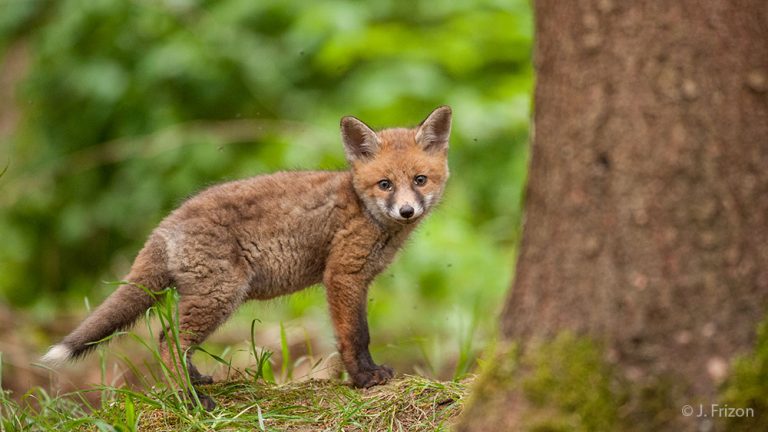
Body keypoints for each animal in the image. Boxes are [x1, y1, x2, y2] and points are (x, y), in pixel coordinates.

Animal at [42, 105, 450, 408]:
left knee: (168, 336)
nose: (407, 211)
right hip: (221, 294)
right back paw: (190, 400)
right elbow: (355, 335)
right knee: (169, 341)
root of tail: (166, 223)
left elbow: (360, 333)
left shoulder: (359, 279)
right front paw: (364, 379)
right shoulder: (343, 275)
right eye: (385, 185)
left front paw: (367, 375)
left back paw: (195, 381)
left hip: (206, 296)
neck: (364, 209)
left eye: (420, 180)